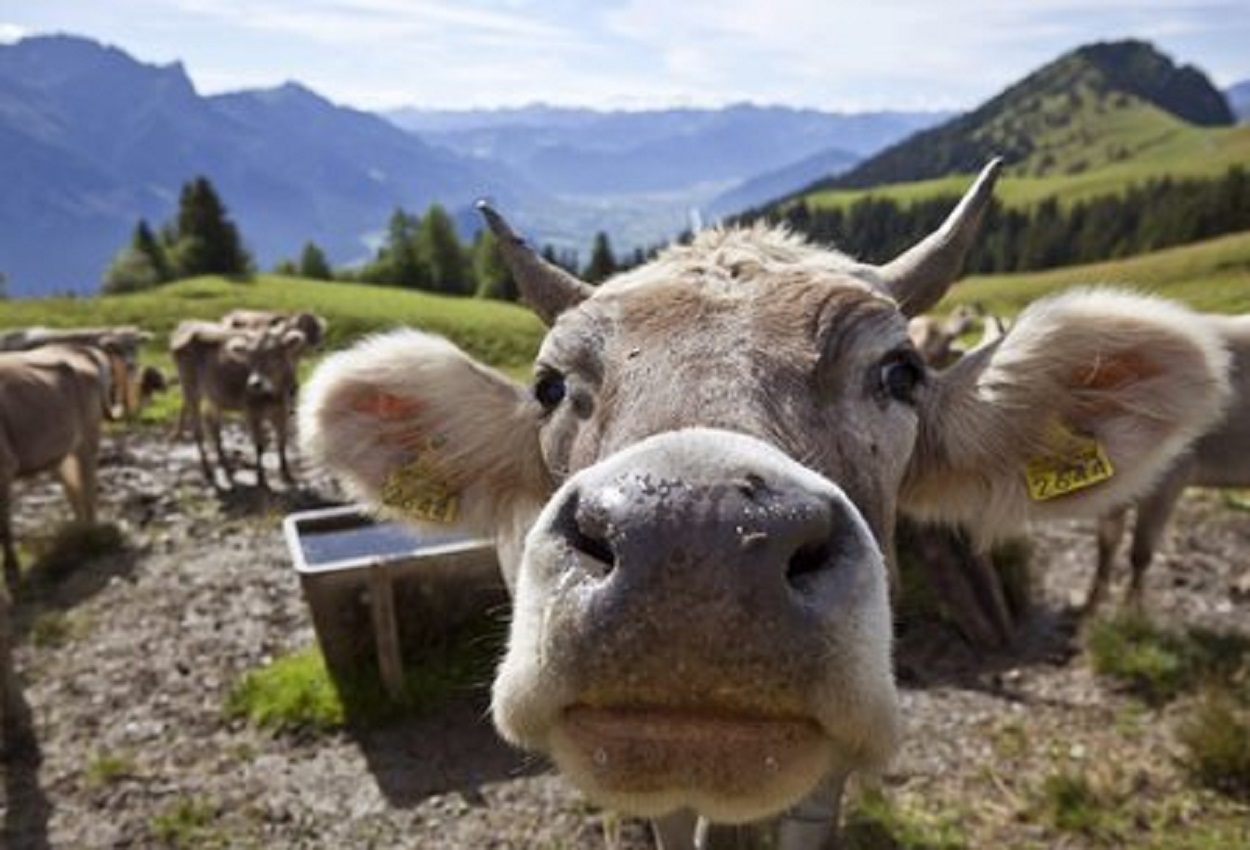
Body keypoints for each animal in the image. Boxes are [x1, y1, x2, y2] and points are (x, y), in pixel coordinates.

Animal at [171, 322, 306, 489]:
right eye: (250, 357)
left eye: (274, 354)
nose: (255, 383)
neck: (274, 394)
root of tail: (187, 324)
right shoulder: (251, 411)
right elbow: (260, 446)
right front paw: (261, 479)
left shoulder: (283, 410)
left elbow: (282, 442)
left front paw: (287, 475)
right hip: (190, 388)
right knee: (198, 430)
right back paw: (208, 471)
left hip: (214, 396)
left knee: (213, 425)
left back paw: (225, 465)